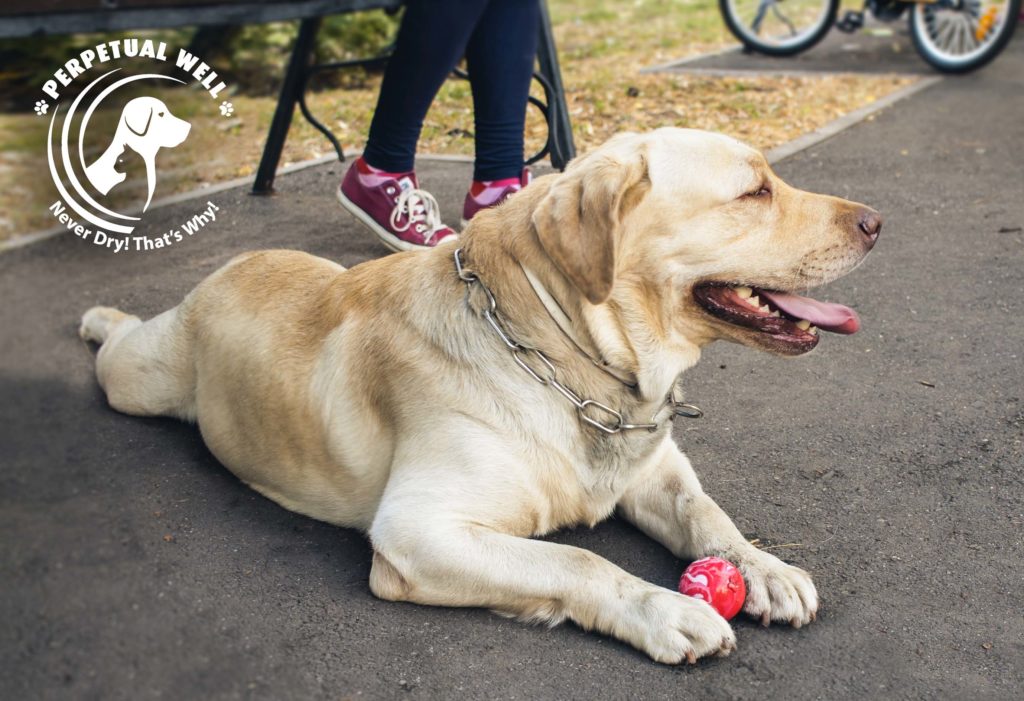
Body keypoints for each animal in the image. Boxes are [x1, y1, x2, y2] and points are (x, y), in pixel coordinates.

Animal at [79, 129, 880, 663]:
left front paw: (763, 567)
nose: (876, 223)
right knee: (120, 347)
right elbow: (576, 561)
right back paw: (98, 318)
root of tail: (234, 260)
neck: (567, 352)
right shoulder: (417, 531)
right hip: (139, 380)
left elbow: (705, 512)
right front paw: (664, 608)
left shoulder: (653, 467)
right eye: (754, 191)